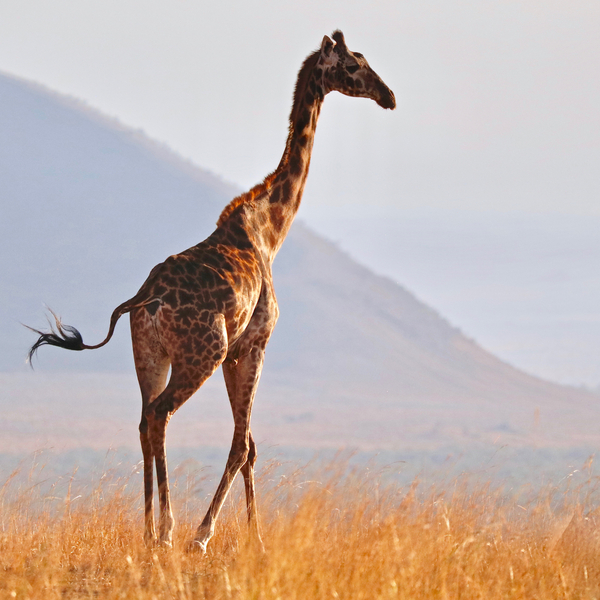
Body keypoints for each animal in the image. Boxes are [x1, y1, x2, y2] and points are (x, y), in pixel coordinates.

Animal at [28, 30, 396, 552]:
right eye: (352, 66)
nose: (389, 97)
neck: (269, 229)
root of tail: (143, 300)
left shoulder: (236, 351)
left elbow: (251, 446)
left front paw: (256, 538)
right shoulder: (254, 342)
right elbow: (242, 445)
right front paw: (207, 536)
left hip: (151, 354)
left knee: (144, 418)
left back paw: (148, 530)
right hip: (202, 351)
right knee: (161, 414)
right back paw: (168, 531)